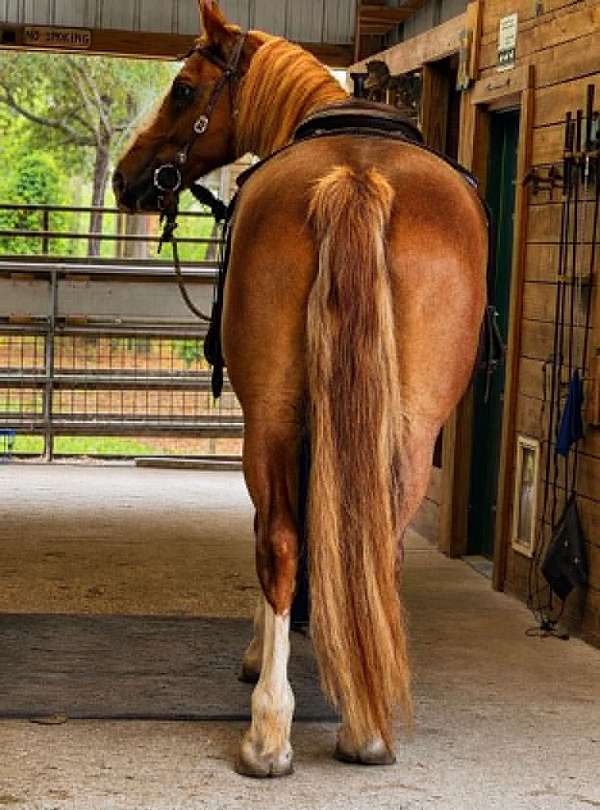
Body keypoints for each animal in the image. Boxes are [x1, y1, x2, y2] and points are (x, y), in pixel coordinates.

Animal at [113, 0, 487, 778]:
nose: (127, 179)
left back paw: (269, 732)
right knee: (380, 548)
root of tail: (356, 178)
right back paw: (366, 728)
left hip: (272, 416)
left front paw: (261, 657)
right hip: (410, 427)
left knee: (280, 540)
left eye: (185, 90)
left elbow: (275, 532)